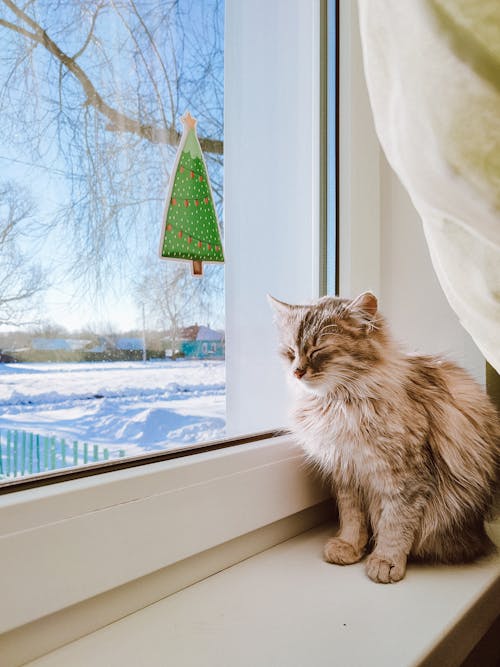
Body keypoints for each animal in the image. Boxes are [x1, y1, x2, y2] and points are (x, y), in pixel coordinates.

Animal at [270, 292, 500, 584]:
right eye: (290, 352)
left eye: (318, 350)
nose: (297, 372)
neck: (340, 405)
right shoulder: (347, 474)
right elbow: (352, 519)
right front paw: (349, 546)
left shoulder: (405, 477)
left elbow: (395, 524)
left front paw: (385, 561)